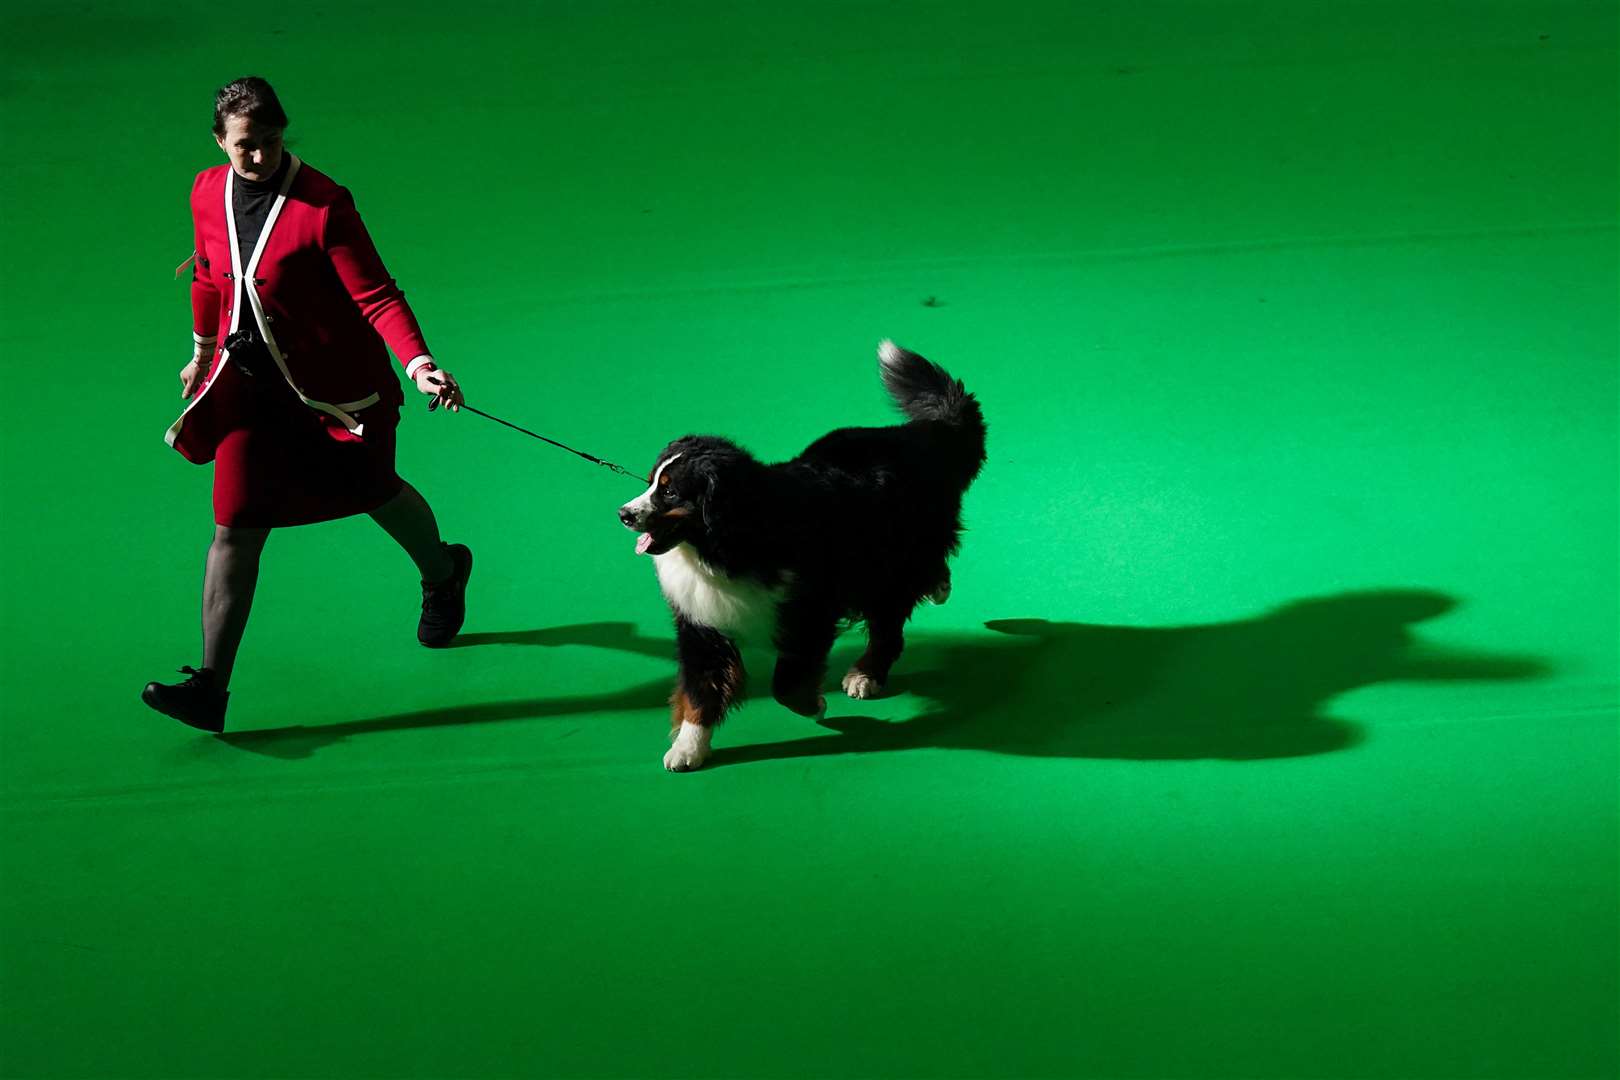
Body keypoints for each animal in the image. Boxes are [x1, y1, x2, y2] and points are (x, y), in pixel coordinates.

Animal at [612, 341, 978, 773]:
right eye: (652, 480)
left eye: (669, 492)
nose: (624, 514)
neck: (725, 547)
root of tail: (919, 434)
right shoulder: (701, 622)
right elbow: (702, 689)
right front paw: (689, 747)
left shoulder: (808, 611)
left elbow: (785, 685)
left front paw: (814, 705)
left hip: (885, 564)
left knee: (891, 621)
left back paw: (867, 672)